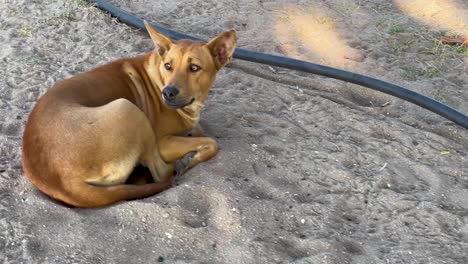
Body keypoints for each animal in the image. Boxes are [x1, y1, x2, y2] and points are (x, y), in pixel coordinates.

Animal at [21, 21, 238, 207]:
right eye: (168, 66)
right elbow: (212, 142)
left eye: (194, 68)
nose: (168, 92)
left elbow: (203, 132)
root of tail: (62, 182)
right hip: (128, 110)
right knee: (162, 173)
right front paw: (194, 155)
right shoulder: (163, 143)